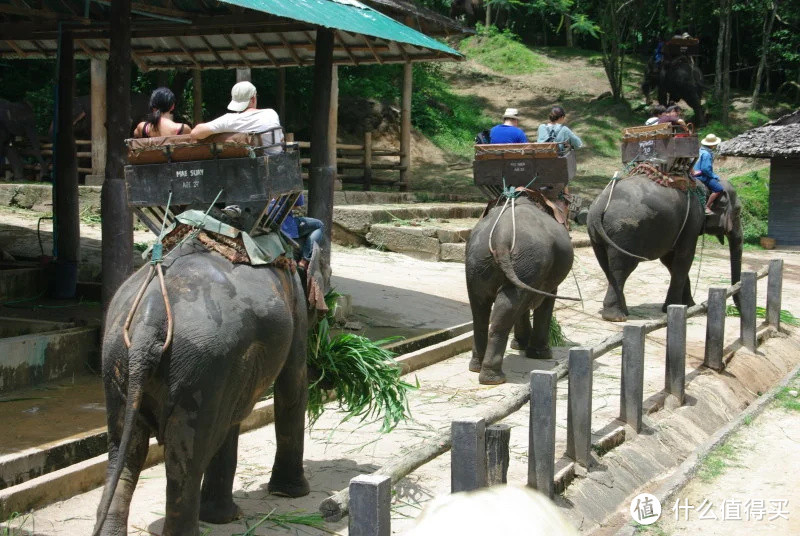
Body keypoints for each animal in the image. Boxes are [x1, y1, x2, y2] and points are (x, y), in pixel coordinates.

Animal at [93, 242, 328, 536]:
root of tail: (150, 317)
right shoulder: (295, 305)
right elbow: (293, 385)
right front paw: (291, 493)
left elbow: (231, 421)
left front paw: (221, 517)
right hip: (201, 364)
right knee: (186, 457)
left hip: (118, 358)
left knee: (125, 449)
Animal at [466, 197, 572, 386]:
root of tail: (501, 238)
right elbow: (545, 302)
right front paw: (540, 354)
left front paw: (520, 345)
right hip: (527, 262)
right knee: (507, 308)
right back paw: (494, 378)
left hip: (479, 262)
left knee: (481, 309)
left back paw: (477, 368)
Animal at [584, 174, 740, 320]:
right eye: (738, 211)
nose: (735, 310)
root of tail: (599, 205)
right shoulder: (693, 220)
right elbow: (685, 257)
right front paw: (675, 307)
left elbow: (670, 261)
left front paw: (689, 306)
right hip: (625, 231)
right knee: (621, 268)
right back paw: (616, 317)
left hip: (596, 234)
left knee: (606, 266)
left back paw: (623, 312)